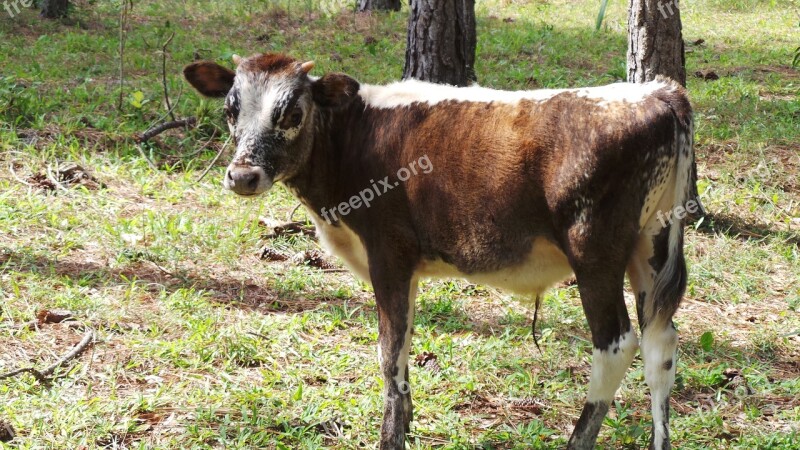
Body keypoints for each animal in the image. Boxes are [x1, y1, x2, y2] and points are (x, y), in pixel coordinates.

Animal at [183, 53, 700, 450]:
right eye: (230, 109)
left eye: (292, 113)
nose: (243, 175)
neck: (353, 135)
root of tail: (658, 92)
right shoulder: (407, 267)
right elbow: (404, 349)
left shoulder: (389, 254)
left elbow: (389, 353)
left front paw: (391, 438)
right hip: (651, 246)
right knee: (660, 343)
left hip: (594, 253)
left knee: (617, 344)